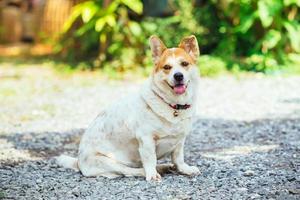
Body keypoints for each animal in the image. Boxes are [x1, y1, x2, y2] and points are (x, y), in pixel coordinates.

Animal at [57, 34, 200, 181]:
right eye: (167, 67)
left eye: (184, 64)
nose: (178, 76)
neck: (174, 105)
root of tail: (79, 162)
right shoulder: (146, 139)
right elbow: (150, 160)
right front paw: (152, 175)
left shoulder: (180, 140)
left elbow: (178, 158)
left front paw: (184, 169)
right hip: (109, 162)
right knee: (131, 171)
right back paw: (156, 170)